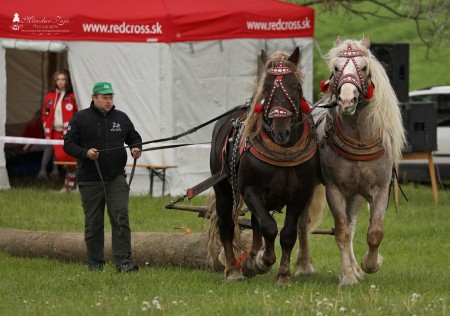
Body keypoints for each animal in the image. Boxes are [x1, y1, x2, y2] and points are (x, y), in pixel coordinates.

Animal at [207, 47, 320, 286]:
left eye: (295, 86)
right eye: (266, 87)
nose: (281, 131)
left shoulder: (301, 193)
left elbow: (287, 233)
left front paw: (283, 274)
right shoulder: (250, 189)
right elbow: (269, 227)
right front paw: (263, 261)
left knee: (255, 220)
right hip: (223, 190)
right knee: (227, 226)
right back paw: (233, 270)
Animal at [296, 37, 408, 286]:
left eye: (364, 68)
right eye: (337, 68)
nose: (347, 100)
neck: (359, 139)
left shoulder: (380, 190)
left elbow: (374, 232)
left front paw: (369, 264)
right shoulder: (334, 190)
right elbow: (342, 232)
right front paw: (347, 275)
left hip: (355, 194)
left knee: (352, 223)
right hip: (310, 187)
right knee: (304, 221)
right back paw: (304, 265)